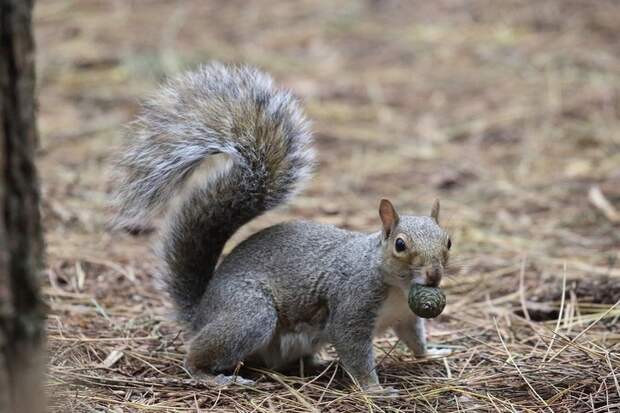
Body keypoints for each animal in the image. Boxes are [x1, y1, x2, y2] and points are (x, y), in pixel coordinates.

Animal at [111, 62, 450, 392]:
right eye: (400, 245)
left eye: (448, 241)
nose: (434, 275)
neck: (396, 287)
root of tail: (202, 312)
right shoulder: (352, 304)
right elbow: (353, 348)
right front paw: (373, 389)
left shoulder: (406, 317)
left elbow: (415, 340)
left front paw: (433, 353)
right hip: (250, 314)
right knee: (197, 353)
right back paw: (212, 376)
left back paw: (316, 365)